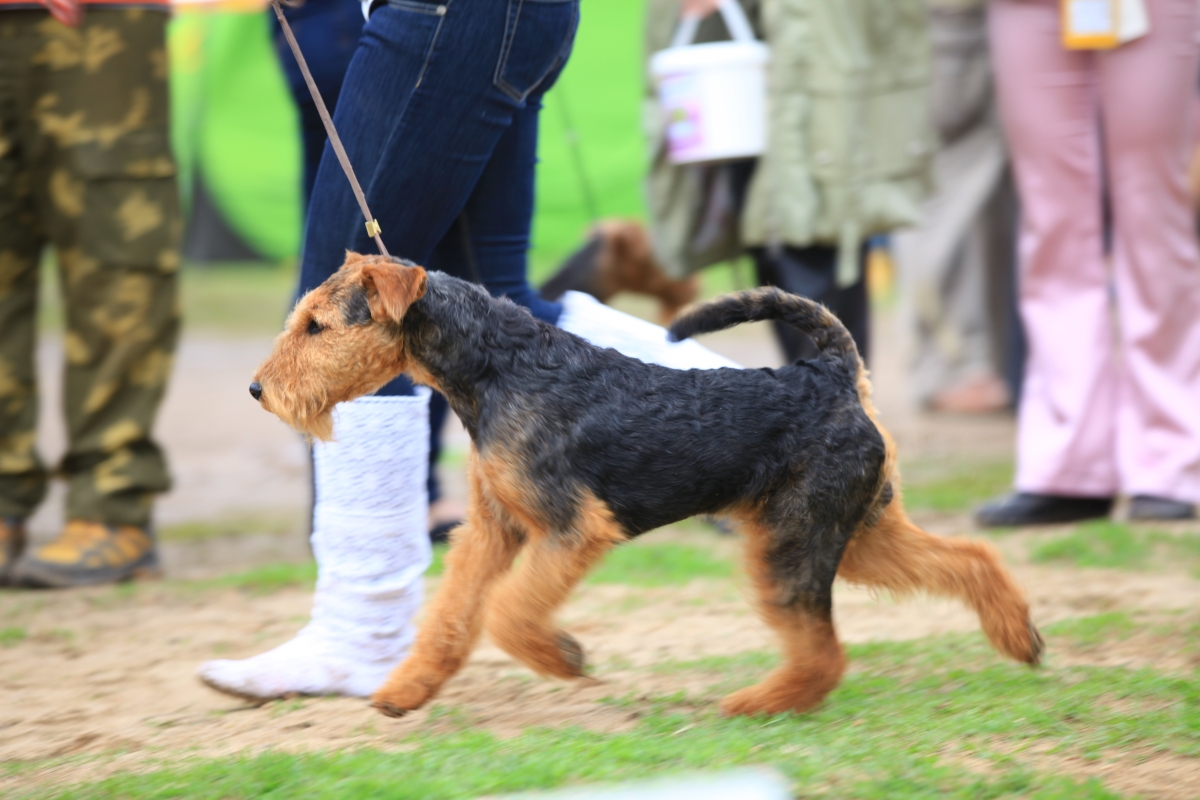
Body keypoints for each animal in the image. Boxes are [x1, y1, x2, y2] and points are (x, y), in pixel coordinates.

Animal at [253, 255, 1041, 719]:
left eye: (318, 325)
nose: (260, 390)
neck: (497, 366)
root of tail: (834, 373)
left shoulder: (570, 528)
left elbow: (508, 614)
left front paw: (565, 658)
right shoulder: (494, 526)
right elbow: (455, 613)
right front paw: (405, 690)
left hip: (792, 544)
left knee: (824, 651)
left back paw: (756, 704)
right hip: (856, 533)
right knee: (968, 559)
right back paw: (1020, 638)